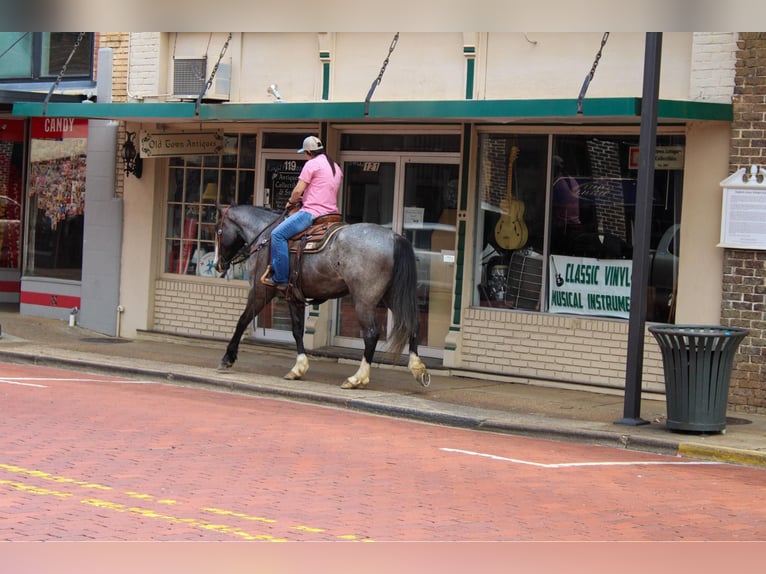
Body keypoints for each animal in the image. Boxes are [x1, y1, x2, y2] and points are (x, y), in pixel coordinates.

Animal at [213, 204, 432, 392]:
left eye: (217, 230)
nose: (217, 265)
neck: (265, 236)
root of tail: (394, 236)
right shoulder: (293, 297)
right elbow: (297, 330)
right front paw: (299, 368)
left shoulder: (259, 292)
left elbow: (242, 321)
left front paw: (227, 358)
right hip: (390, 296)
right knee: (413, 324)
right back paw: (418, 368)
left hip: (364, 301)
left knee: (371, 334)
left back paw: (357, 378)